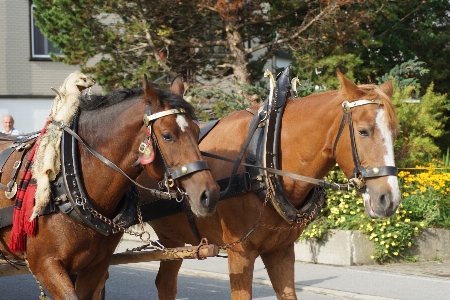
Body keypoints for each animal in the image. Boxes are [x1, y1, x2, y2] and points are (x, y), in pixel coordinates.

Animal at [141, 69, 400, 298]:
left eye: (395, 133)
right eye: (363, 131)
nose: (389, 199)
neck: (262, 162)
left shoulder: (281, 251)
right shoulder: (240, 252)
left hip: (173, 239)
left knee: (165, 284)